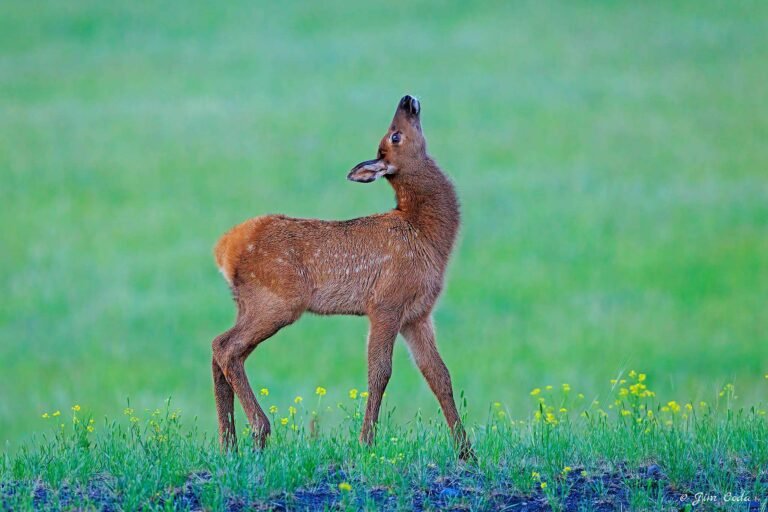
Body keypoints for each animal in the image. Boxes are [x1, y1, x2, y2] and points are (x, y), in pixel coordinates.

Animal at [211, 94, 473, 460]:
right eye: (394, 136)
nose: (407, 99)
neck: (428, 235)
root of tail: (223, 248)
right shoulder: (385, 303)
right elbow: (380, 372)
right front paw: (366, 442)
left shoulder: (417, 315)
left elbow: (439, 375)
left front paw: (466, 451)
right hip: (277, 300)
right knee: (225, 347)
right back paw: (259, 431)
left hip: (248, 303)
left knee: (222, 349)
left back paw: (229, 443)